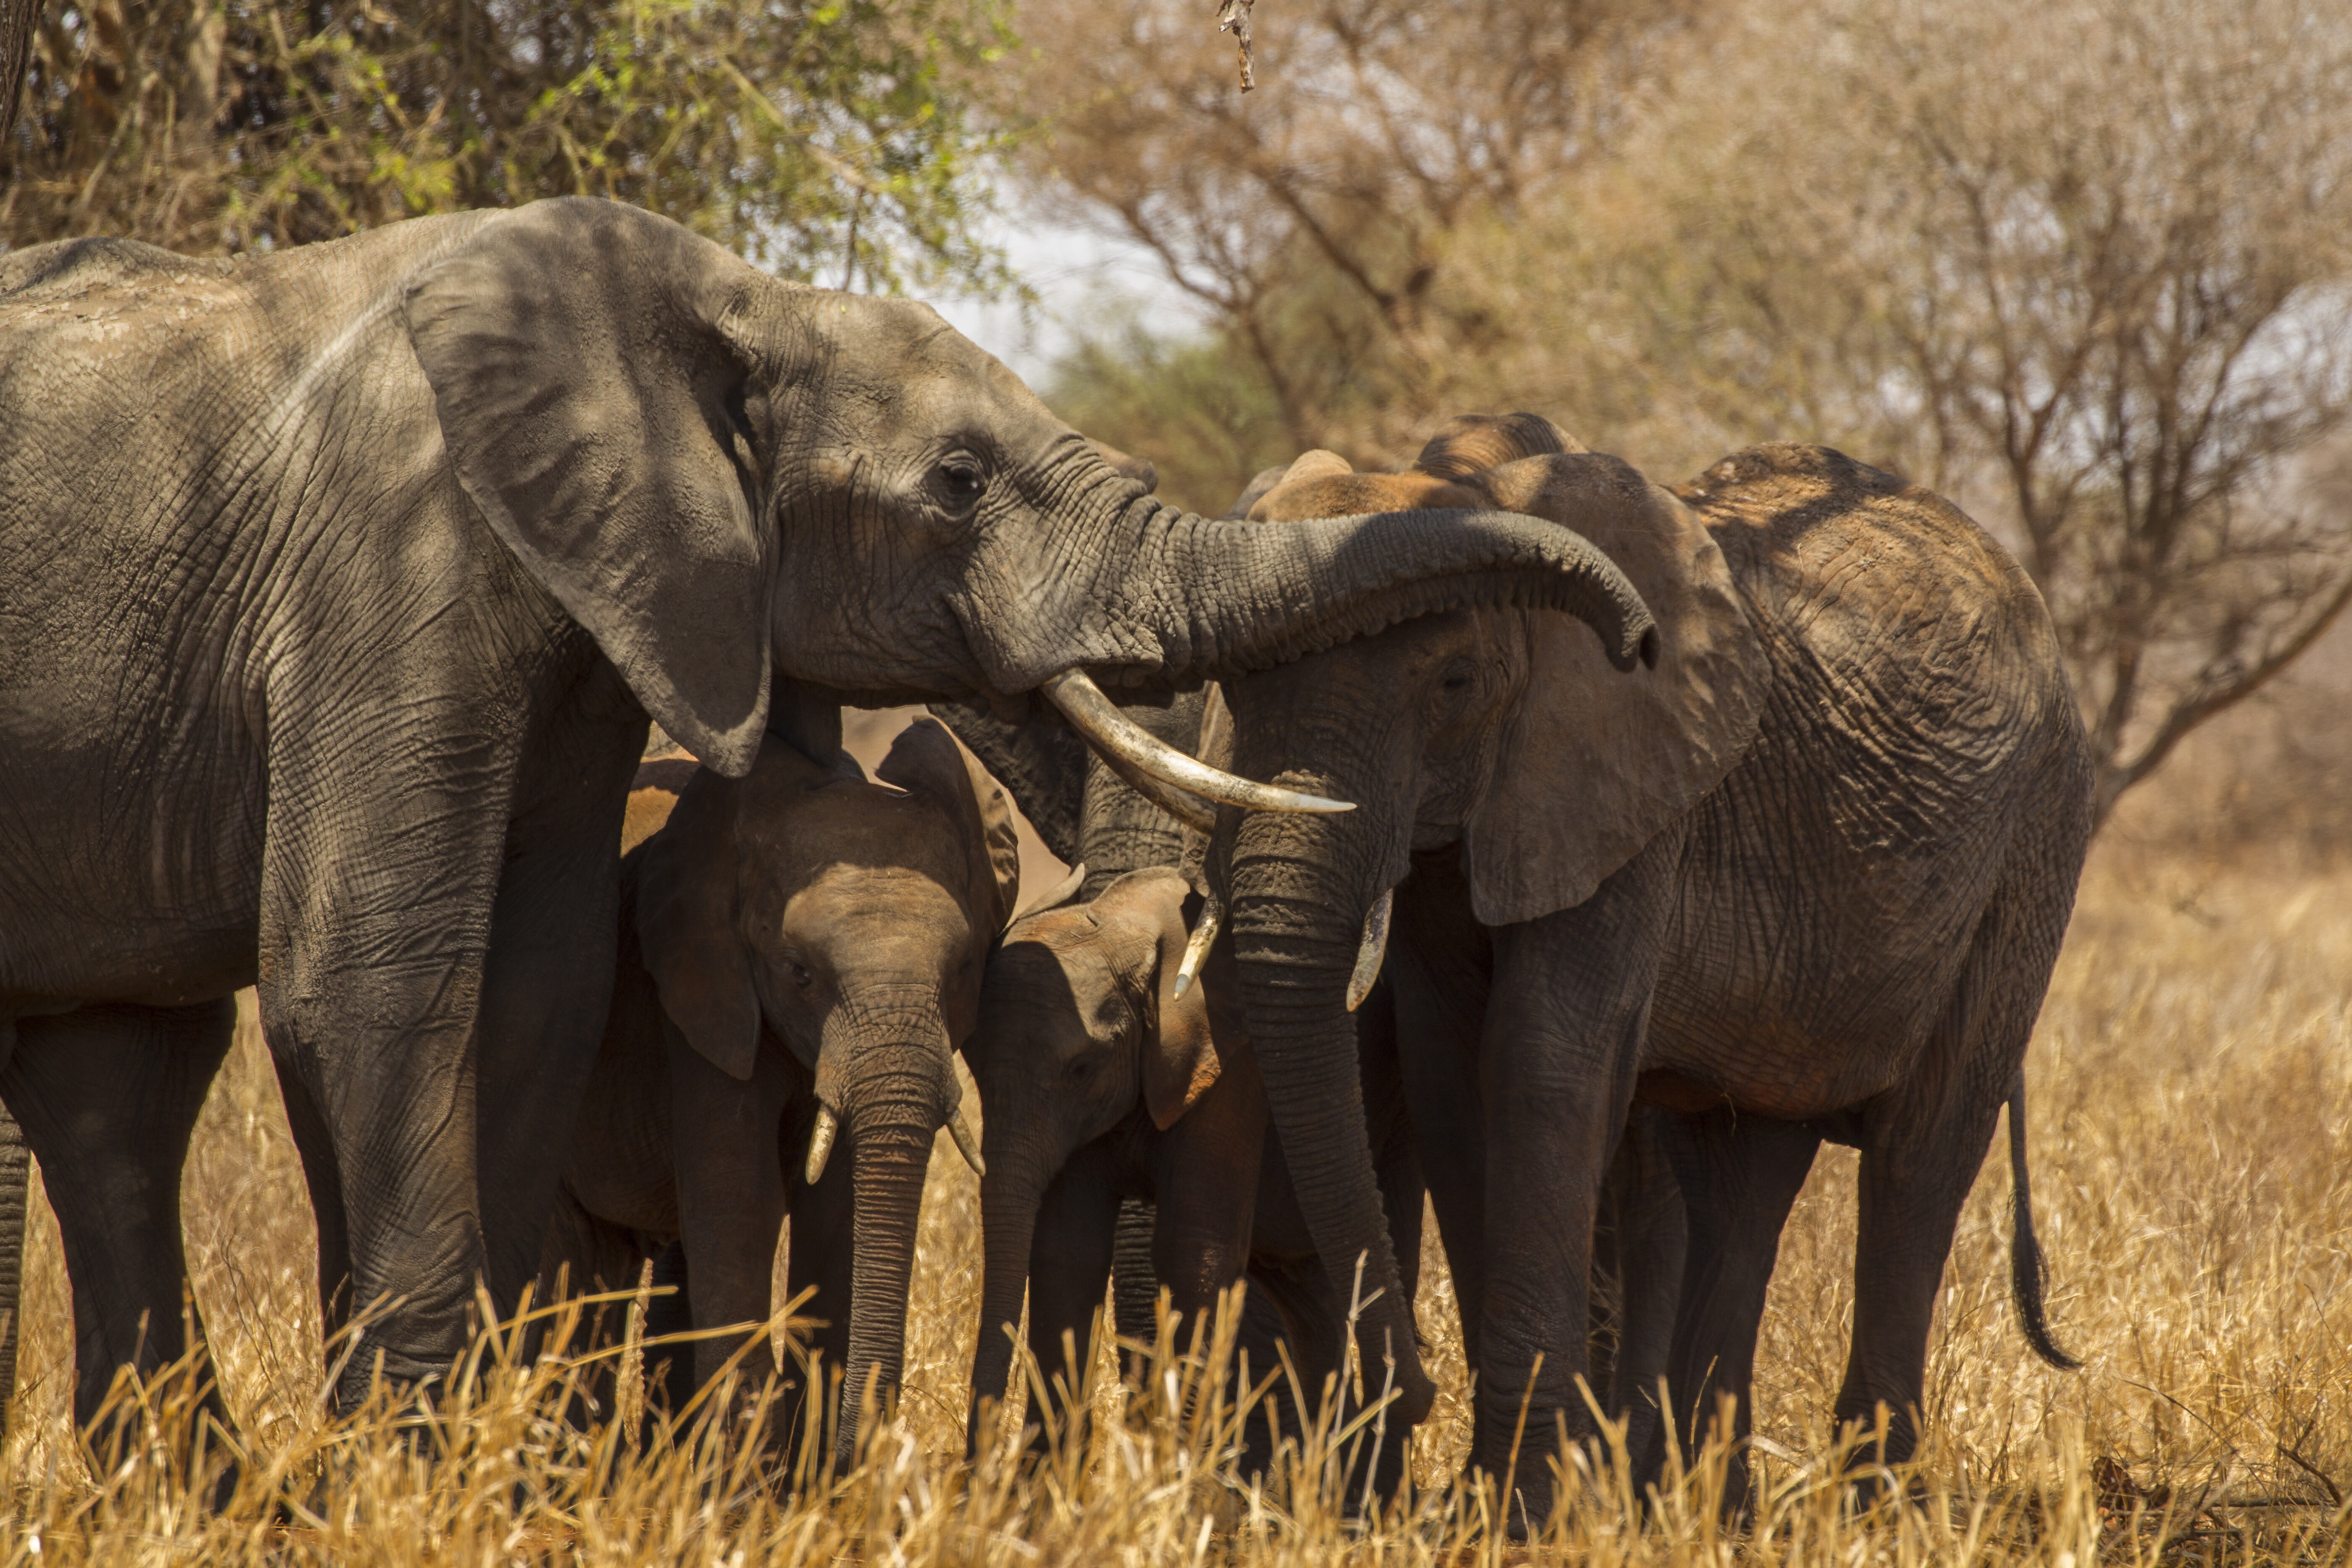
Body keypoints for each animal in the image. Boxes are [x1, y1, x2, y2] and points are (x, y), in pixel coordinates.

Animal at [536, 716, 1017, 1463]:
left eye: (964, 966)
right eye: (799, 972)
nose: (862, 1450)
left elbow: (837, 1210)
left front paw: (815, 1473)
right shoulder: (703, 999)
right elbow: (743, 1200)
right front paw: (750, 1476)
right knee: (575, 1265)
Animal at [1191, 419, 2090, 1521]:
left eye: (1453, 683)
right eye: (1234, 685)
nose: (1409, 1385)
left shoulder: (1629, 779)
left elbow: (1543, 1061)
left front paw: (1519, 1510)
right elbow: (1456, 1079)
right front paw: (1522, 1499)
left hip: (2033, 843)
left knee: (1921, 1154)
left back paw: (1872, 1510)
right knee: (1746, 1173)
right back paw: (1712, 1509)